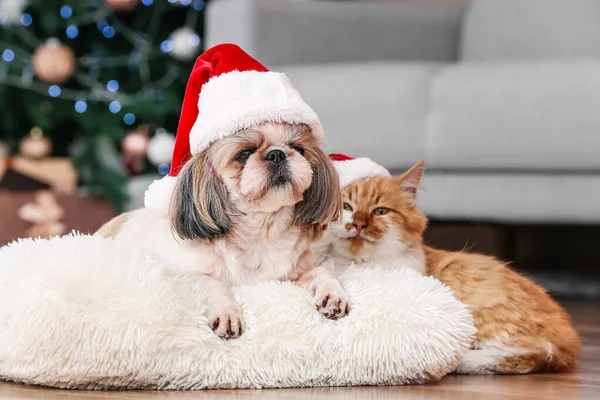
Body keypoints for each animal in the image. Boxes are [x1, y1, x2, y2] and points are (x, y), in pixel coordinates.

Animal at [314, 160, 580, 376]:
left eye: (380, 211)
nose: (358, 224)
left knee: (531, 353)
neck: (355, 263)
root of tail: (569, 337)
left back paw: (459, 362)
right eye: (346, 207)